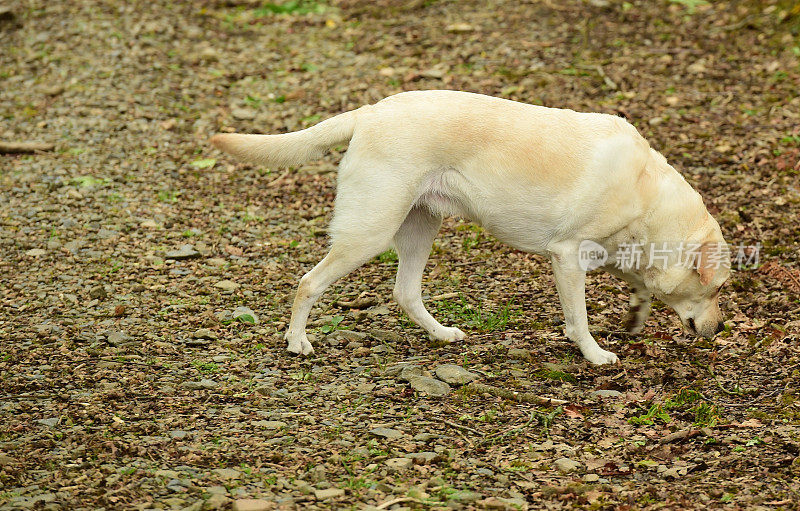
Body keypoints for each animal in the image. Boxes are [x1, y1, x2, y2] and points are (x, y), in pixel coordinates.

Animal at [209, 91, 728, 364]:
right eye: (719, 289)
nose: (719, 329)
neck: (647, 193)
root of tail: (370, 111)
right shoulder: (567, 256)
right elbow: (579, 320)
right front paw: (595, 354)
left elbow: (638, 287)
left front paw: (634, 317)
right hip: (368, 234)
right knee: (308, 282)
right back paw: (297, 341)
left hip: (421, 229)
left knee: (405, 293)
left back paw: (440, 334)